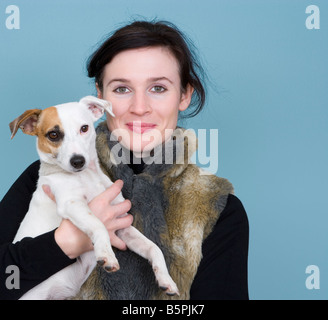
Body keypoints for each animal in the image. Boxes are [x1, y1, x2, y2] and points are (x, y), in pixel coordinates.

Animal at [9, 95, 179, 300]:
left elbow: (154, 248)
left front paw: (166, 279)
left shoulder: (122, 225)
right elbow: (98, 224)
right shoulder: (72, 204)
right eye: (53, 135)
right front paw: (107, 254)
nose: (78, 161)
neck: (87, 177)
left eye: (84, 128)